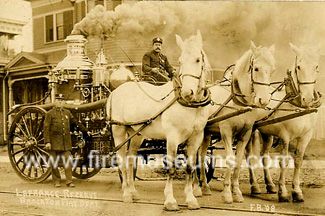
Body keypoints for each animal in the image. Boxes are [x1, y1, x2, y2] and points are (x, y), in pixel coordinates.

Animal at [106, 30, 211, 211]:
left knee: (130, 160)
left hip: (136, 134)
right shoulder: (173, 138)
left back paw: (133, 192)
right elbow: (171, 168)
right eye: (180, 61)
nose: (187, 92)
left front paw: (191, 199)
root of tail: (115, 91)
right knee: (121, 160)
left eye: (198, 59)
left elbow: (190, 167)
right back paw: (126, 194)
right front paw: (170, 201)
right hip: (118, 131)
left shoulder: (196, 137)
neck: (190, 105)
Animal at [194, 41, 274, 203]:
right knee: (194, 156)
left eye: (271, 70)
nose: (264, 100)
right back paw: (196, 188)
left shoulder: (245, 134)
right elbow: (230, 160)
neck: (239, 103)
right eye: (256, 68)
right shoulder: (226, 131)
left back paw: (205, 186)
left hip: (207, 134)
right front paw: (227, 193)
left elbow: (238, 161)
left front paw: (236, 192)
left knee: (202, 155)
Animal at [248, 42, 318, 202]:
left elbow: (298, 160)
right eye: (299, 67)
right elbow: (284, 161)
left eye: (316, 66)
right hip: (250, 130)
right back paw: (255, 186)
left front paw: (297, 191)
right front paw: (284, 192)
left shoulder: (306, 136)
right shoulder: (286, 136)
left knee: (264, 155)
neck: (297, 106)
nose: (308, 99)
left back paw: (269, 185)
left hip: (267, 134)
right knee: (248, 155)